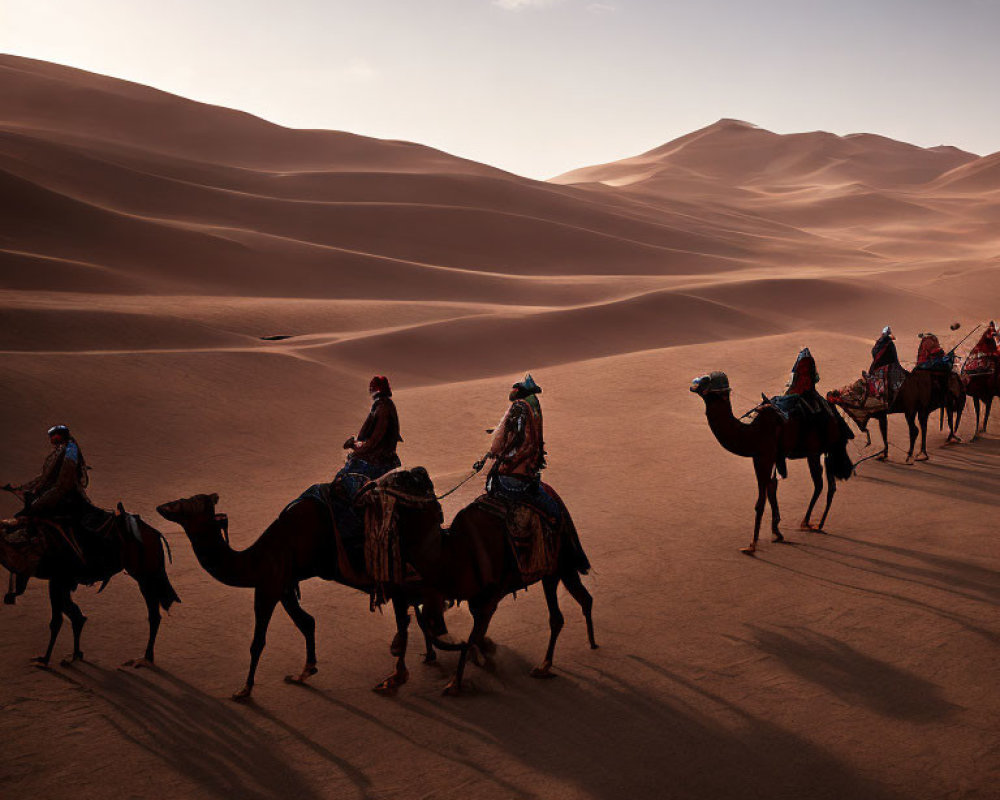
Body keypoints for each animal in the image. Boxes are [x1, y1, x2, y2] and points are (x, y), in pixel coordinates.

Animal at [0, 506, 178, 668]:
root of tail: (156, 534)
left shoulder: (58, 579)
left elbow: (57, 620)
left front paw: (45, 659)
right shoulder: (62, 581)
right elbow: (76, 615)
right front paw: (76, 654)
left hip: (146, 574)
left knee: (154, 614)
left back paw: (145, 658)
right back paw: (146, 657)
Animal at [157, 488, 446, 700]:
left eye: (187, 503)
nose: (161, 507)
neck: (254, 559)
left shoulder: (268, 585)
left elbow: (258, 641)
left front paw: (245, 689)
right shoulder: (285, 585)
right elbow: (307, 622)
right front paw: (305, 671)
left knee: (407, 617)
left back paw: (395, 678)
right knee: (416, 610)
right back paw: (425, 656)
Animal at [354, 468, 592, 692]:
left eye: (402, 478)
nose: (367, 486)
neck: (452, 554)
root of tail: (554, 498)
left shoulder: (490, 593)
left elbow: (470, 634)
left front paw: (456, 682)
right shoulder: (464, 595)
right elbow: (452, 629)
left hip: (559, 565)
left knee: (562, 612)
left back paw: (548, 664)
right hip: (554, 570)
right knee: (575, 603)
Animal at [696, 372, 852, 552]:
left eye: (706, 381)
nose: (693, 384)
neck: (750, 433)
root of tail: (834, 414)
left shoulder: (763, 457)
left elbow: (761, 500)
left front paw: (752, 545)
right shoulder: (768, 458)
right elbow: (772, 488)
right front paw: (777, 532)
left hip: (824, 448)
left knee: (827, 485)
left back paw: (817, 524)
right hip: (816, 452)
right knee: (822, 484)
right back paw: (808, 522)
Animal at [832, 368, 964, 462]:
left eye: (850, 391)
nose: (831, 393)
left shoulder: (883, 413)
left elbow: (885, 433)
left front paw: (884, 454)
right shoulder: (884, 415)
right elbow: (884, 432)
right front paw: (884, 454)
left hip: (912, 411)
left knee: (915, 429)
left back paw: (911, 454)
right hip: (919, 410)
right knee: (923, 428)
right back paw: (924, 452)